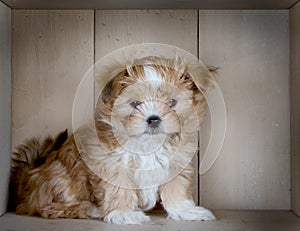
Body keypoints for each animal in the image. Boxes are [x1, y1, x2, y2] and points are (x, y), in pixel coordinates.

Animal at [9, 55, 216, 224]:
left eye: (172, 102)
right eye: (135, 104)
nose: (154, 119)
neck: (148, 145)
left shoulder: (176, 163)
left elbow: (176, 189)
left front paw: (186, 211)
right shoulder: (110, 163)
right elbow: (118, 188)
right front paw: (124, 213)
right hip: (59, 179)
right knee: (48, 208)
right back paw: (90, 209)